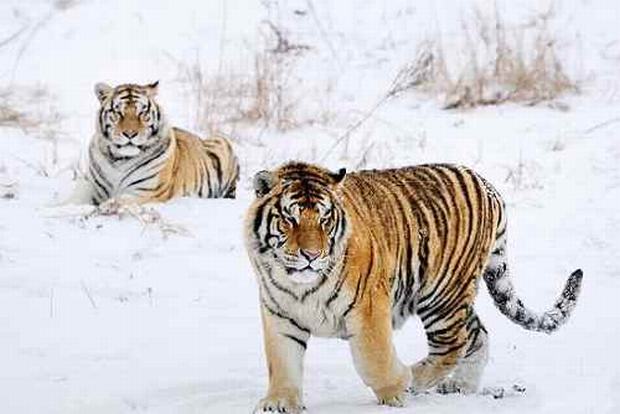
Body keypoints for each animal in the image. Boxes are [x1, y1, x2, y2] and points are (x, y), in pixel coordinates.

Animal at [86, 81, 240, 204]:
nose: (130, 134)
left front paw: (106, 208)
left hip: (221, 141)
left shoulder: (148, 192)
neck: (119, 160)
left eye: (142, 113)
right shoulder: (95, 191)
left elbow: (121, 200)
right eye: (118, 112)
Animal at [245, 161, 584, 410]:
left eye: (325, 221)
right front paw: (278, 403)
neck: (301, 286)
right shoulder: (280, 314)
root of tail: (485, 184)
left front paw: (396, 388)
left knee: (453, 344)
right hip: (453, 298)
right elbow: (282, 361)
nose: (312, 255)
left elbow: (374, 359)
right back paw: (461, 386)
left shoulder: (368, 307)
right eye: (289, 220)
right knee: (478, 334)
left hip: (442, 296)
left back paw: (415, 379)